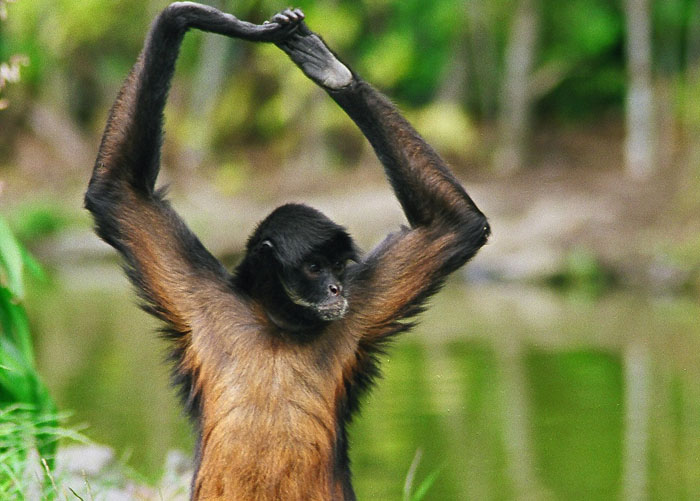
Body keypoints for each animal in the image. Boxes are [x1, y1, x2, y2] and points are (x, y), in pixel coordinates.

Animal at [84, 3, 489, 500]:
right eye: (315, 267)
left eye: (338, 267)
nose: (336, 289)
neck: (277, 325)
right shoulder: (202, 296)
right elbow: (119, 194)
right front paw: (192, 16)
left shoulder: (357, 309)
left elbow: (454, 228)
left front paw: (330, 69)